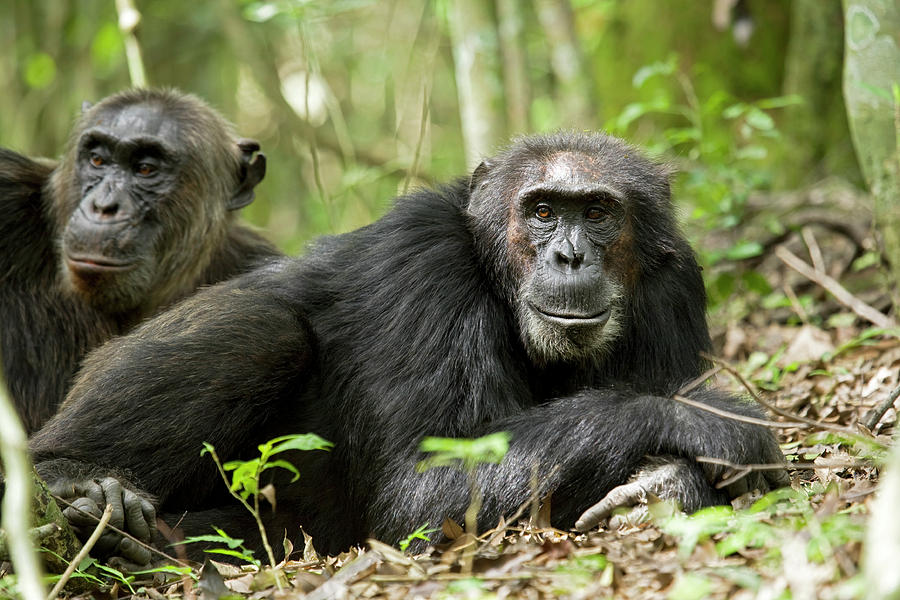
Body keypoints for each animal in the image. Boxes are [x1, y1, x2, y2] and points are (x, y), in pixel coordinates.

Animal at [28, 132, 788, 568]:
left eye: (598, 213)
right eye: (543, 211)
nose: (570, 255)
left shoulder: (674, 283)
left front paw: (666, 486)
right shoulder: (423, 262)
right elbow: (425, 483)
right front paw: (715, 424)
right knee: (262, 328)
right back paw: (77, 484)